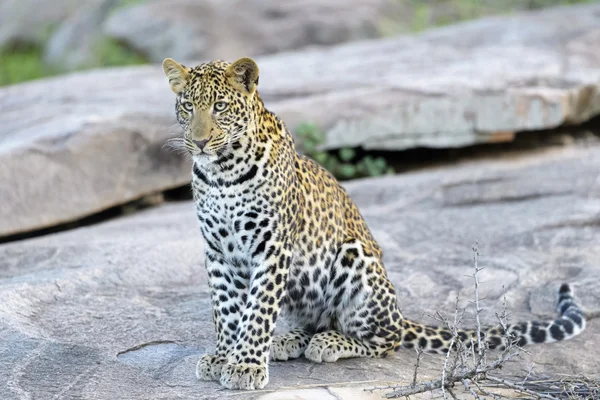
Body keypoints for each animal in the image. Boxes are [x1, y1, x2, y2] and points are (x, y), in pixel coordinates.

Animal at [161, 57, 584, 390]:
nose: (199, 142)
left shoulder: (271, 245)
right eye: (187, 107)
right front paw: (223, 356)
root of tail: (398, 311)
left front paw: (245, 365)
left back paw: (328, 343)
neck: (222, 172)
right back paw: (291, 339)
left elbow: (258, 309)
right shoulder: (218, 250)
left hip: (355, 258)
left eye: (219, 106)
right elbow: (226, 309)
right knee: (316, 319)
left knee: (386, 340)